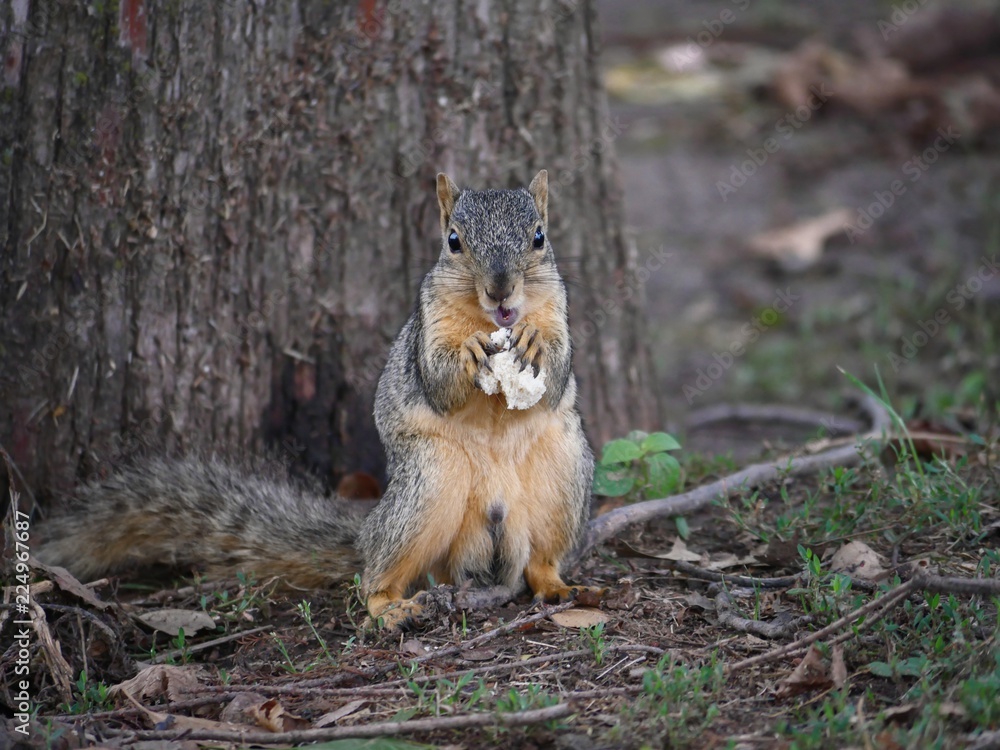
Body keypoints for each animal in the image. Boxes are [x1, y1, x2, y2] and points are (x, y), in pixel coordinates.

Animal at [36, 170, 599, 629]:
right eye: (454, 241)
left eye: (539, 236)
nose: (501, 291)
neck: (491, 321)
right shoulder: (428, 326)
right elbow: (438, 380)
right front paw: (469, 353)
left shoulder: (557, 310)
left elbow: (558, 369)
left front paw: (534, 344)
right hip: (429, 485)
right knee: (376, 574)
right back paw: (390, 608)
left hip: (563, 474)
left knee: (541, 561)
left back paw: (561, 587)